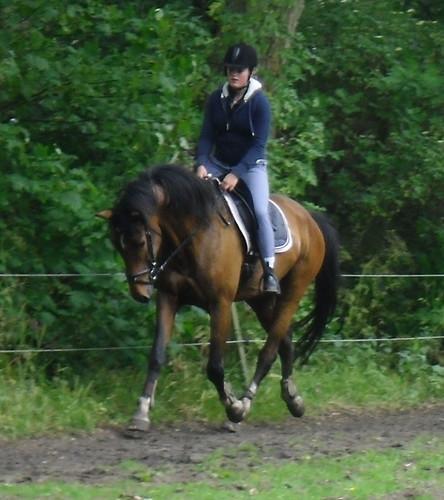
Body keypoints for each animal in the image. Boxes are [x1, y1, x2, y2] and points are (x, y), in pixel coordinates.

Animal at [98, 164, 340, 430]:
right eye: (117, 245)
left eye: (140, 241)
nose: (140, 293)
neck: (192, 236)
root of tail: (309, 218)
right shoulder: (169, 298)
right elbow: (156, 356)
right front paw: (141, 413)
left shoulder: (220, 304)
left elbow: (214, 367)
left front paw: (233, 406)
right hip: (261, 300)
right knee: (285, 340)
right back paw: (293, 398)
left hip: (293, 292)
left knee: (269, 351)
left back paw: (246, 404)